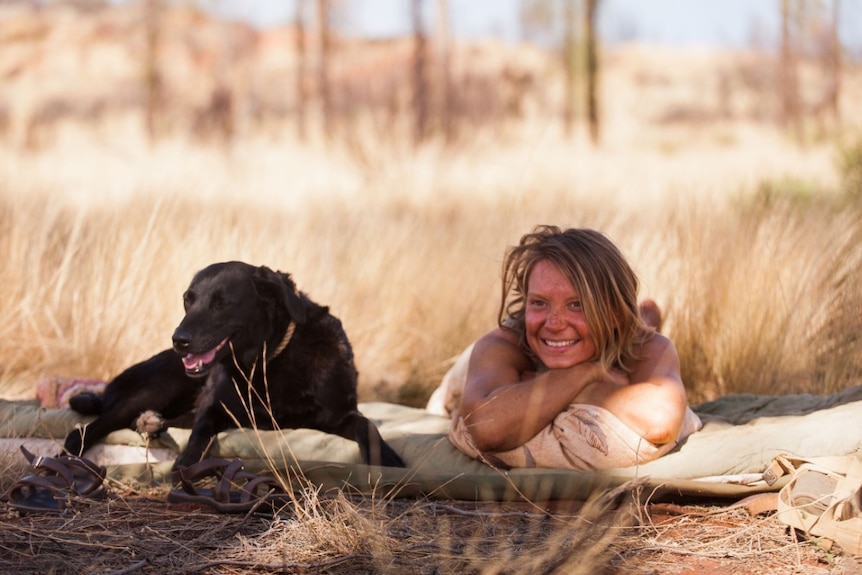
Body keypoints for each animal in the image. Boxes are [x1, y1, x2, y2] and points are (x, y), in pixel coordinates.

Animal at [64, 264, 408, 470]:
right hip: (159, 388)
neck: (266, 362)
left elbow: (368, 425)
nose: (179, 340)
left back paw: (150, 423)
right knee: (84, 430)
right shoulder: (215, 408)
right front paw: (185, 464)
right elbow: (201, 431)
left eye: (221, 303)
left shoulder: (339, 415)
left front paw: (389, 458)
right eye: (188, 300)